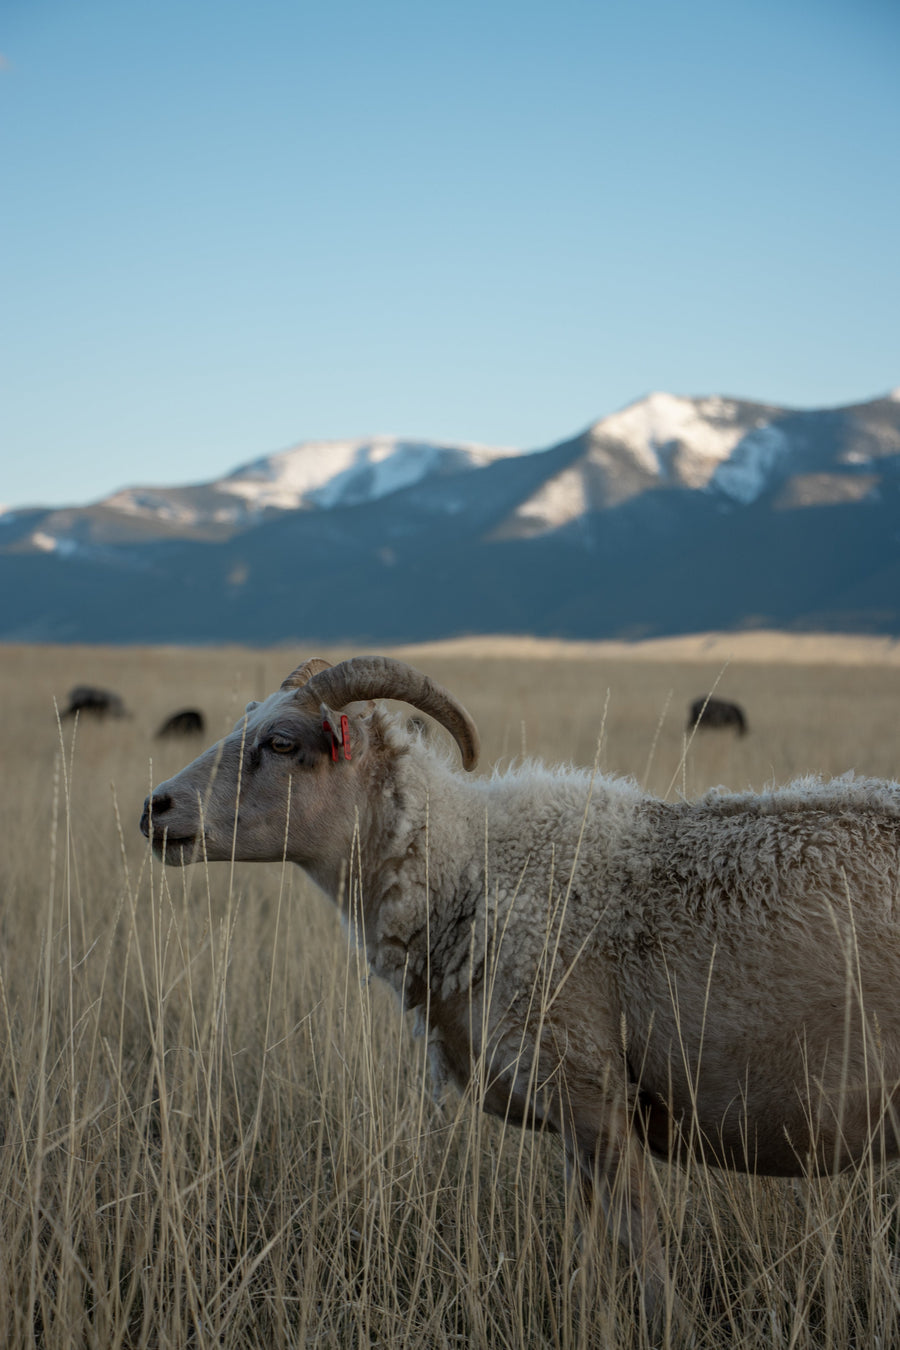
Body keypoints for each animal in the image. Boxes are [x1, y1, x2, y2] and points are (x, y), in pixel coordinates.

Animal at [139, 654, 900, 1329]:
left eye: (281, 742)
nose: (155, 808)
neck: (471, 869)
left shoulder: (589, 1086)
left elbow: (638, 1237)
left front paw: (666, 1325)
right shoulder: (573, 1115)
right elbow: (587, 1241)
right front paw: (581, 1311)